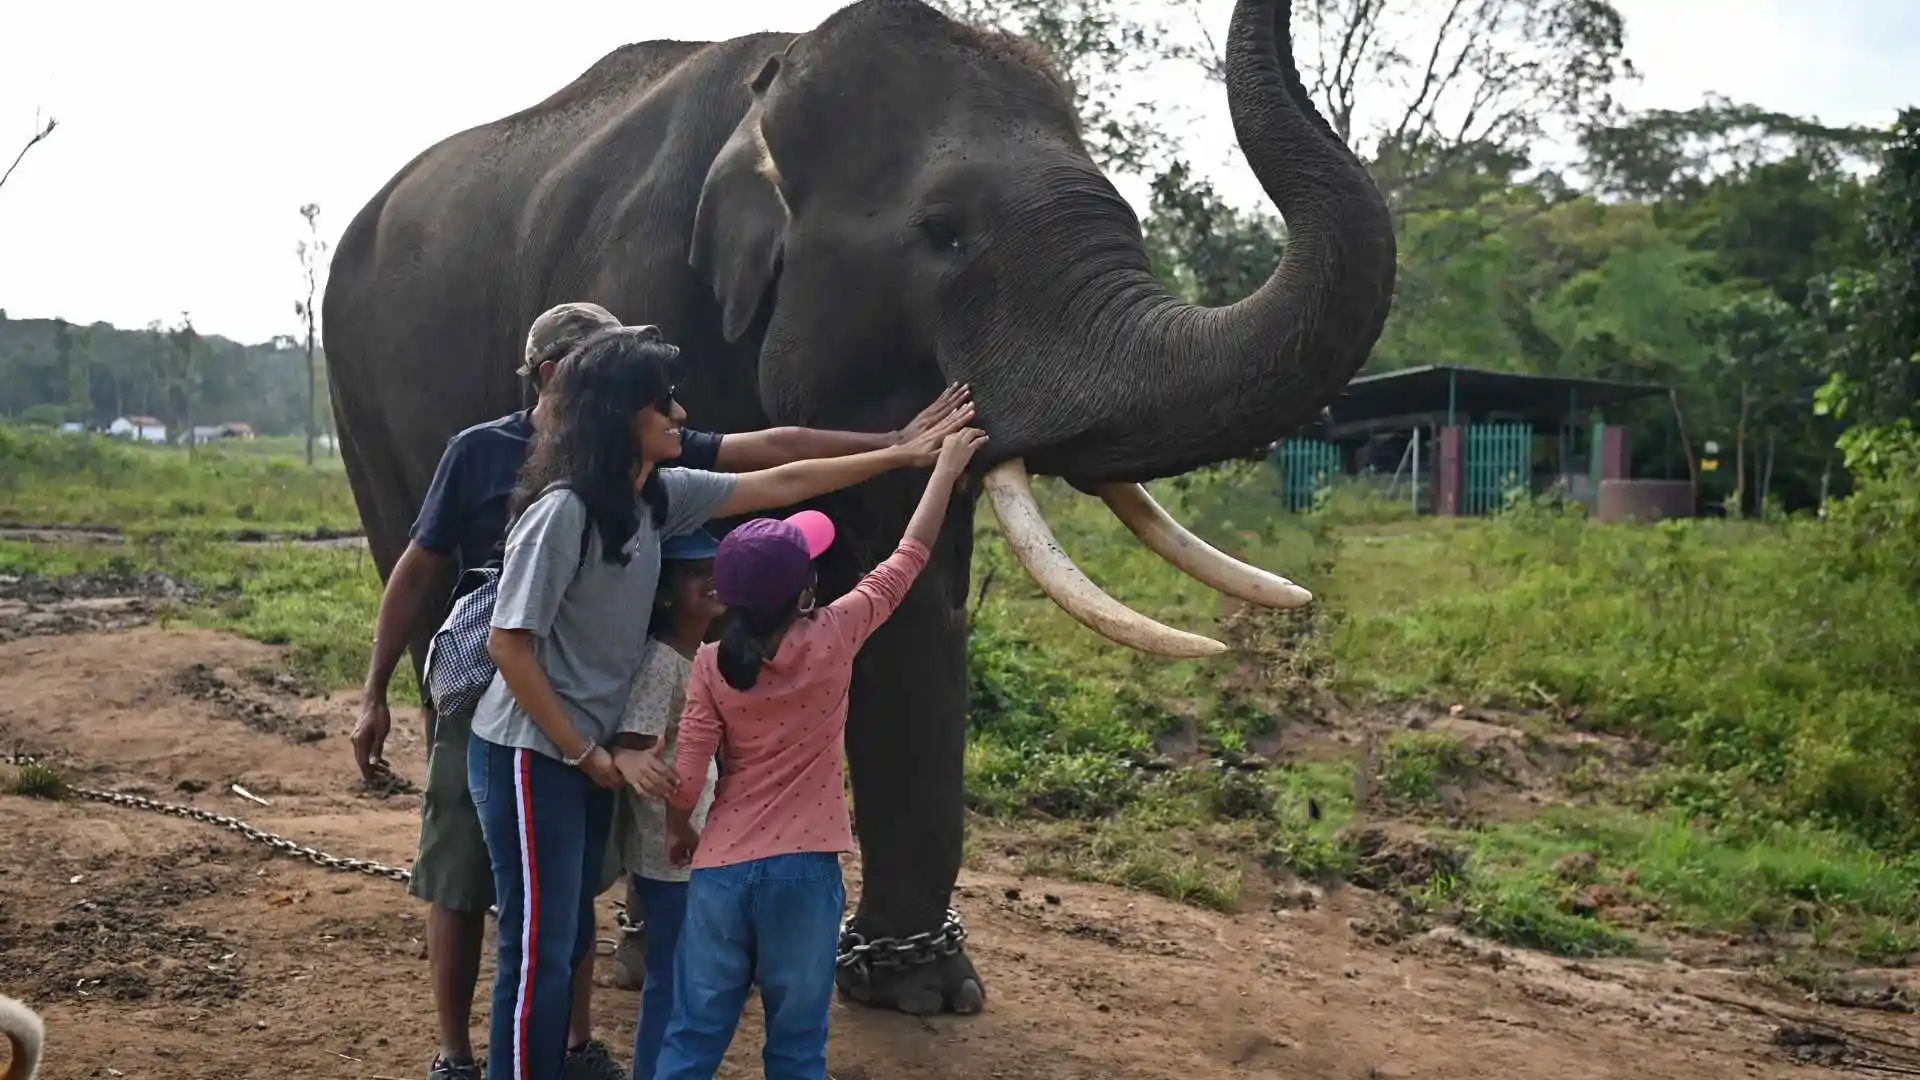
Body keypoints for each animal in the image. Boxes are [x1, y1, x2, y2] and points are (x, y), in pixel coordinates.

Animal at [322, 0, 1395, 1016]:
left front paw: (924, 992)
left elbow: (911, 607)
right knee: (419, 583)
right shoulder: (646, 294)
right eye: (944, 232)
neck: (767, 92)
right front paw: (660, 940)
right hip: (355, 391)